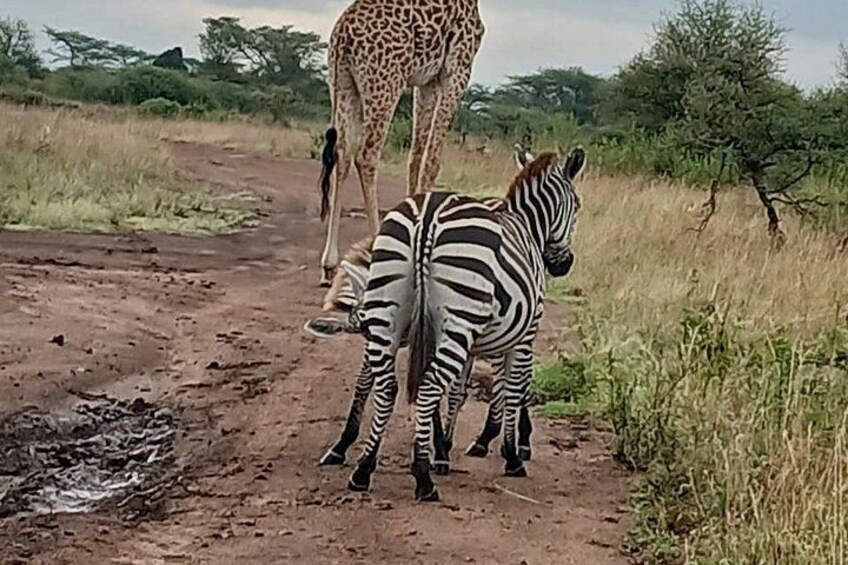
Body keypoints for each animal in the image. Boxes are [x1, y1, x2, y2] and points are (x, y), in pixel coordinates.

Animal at [316, 0, 485, 286]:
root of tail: (343, 33)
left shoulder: (427, 80)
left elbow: (415, 156)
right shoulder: (457, 69)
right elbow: (432, 160)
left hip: (342, 85)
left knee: (343, 155)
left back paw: (328, 265)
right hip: (384, 84)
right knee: (366, 156)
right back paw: (376, 249)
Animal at [317, 147, 586, 501]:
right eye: (577, 206)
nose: (563, 264)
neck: (527, 225)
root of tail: (427, 216)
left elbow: (465, 390)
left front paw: (443, 447)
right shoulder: (524, 332)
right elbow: (514, 386)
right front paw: (509, 453)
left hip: (392, 314)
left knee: (389, 386)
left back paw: (364, 469)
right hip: (459, 320)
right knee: (431, 385)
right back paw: (424, 479)